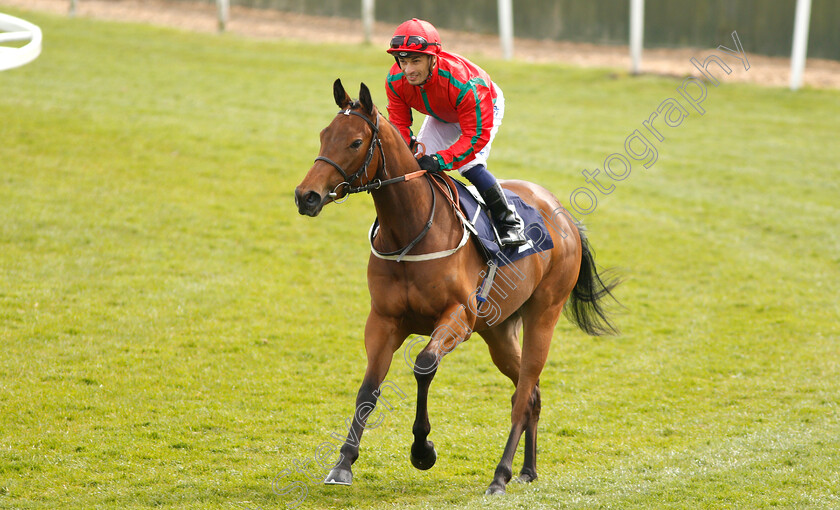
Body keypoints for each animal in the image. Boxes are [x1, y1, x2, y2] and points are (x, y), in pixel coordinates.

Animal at [294, 78, 616, 494]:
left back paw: (500, 475)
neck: (411, 231)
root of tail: (563, 215)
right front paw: (343, 463)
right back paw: (527, 469)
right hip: (497, 332)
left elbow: (424, 365)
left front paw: (422, 450)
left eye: (355, 142)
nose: (306, 196)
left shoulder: (458, 317)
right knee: (531, 394)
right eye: (324, 135)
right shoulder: (383, 320)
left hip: (543, 315)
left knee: (523, 392)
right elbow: (368, 390)